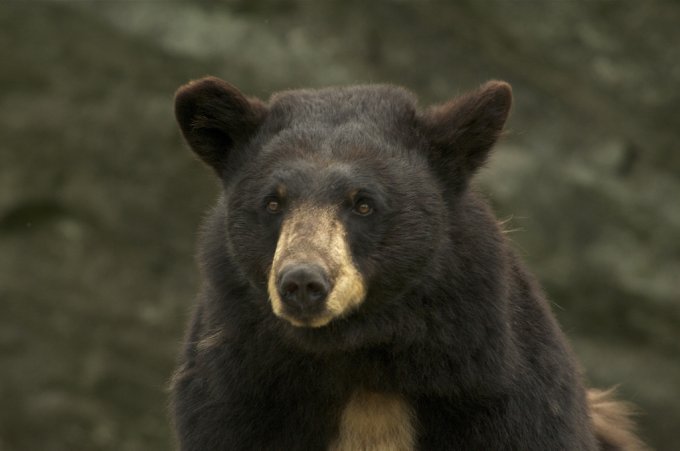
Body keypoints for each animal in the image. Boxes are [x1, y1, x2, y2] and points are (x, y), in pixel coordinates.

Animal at [170, 76, 644, 450]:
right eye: (272, 202)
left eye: (363, 203)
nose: (303, 282)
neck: (362, 366)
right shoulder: (237, 401)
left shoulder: (509, 402)